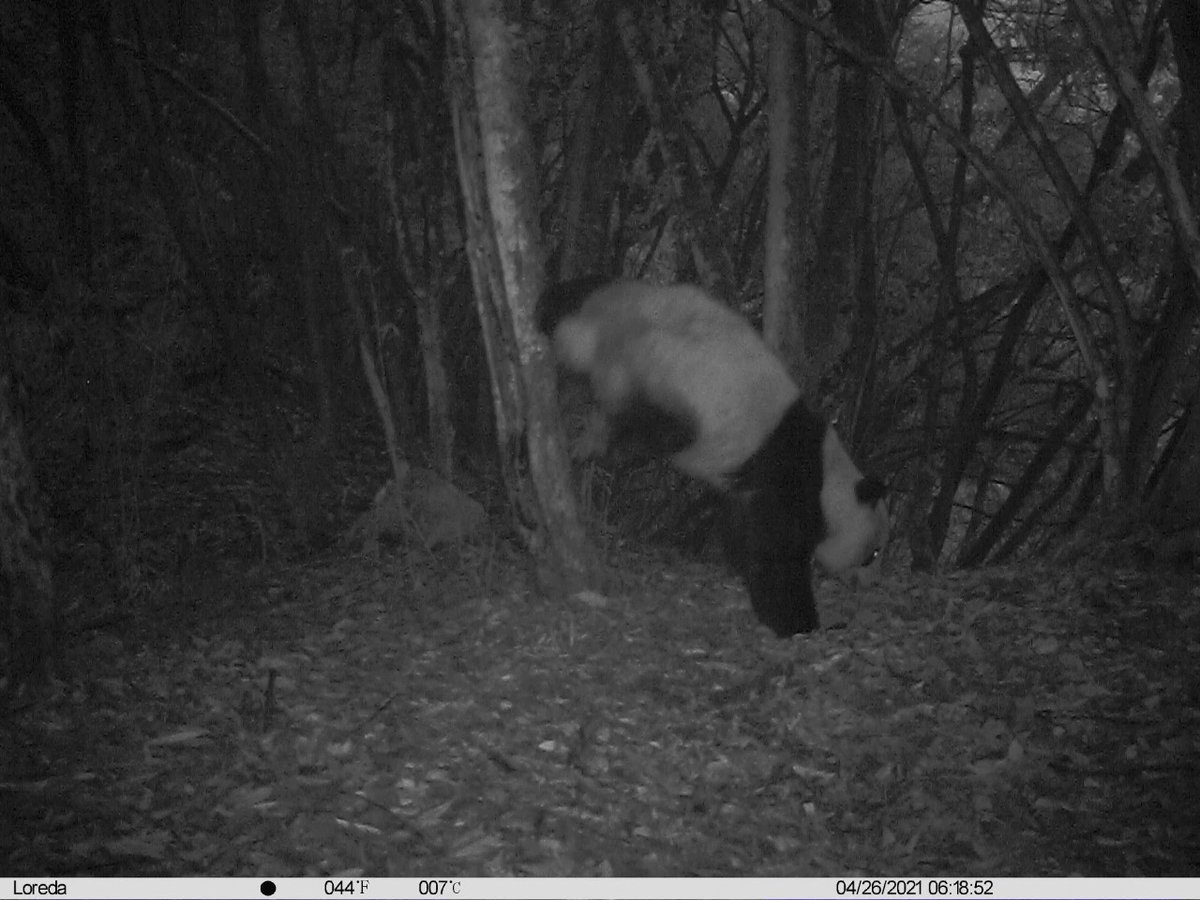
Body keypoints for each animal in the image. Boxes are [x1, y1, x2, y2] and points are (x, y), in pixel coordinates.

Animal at [537, 277, 889, 636]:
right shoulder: (786, 479)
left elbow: (740, 526)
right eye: (873, 552)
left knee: (574, 294)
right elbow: (775, 553)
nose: (872, 583)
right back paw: (599, 443)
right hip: (660, 379)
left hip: (633, 301)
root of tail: (602, 330)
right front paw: (801, 621)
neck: (829, 478)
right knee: (647, 421)